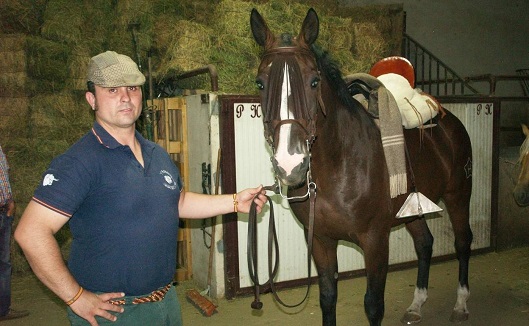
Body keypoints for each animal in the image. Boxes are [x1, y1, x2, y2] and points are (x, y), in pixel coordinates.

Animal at [250, 7, 472, 326]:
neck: (338, 167)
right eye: (260, 83)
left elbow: (373, 305)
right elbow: (327, 298)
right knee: (425, 244)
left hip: (458, 195)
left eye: (314, 81)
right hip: (412, 210)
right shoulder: (320, 240)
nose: (289, 164)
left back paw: (461, 304)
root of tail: (449, 121)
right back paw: (416, 306)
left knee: (463, 242)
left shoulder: (375, 240)